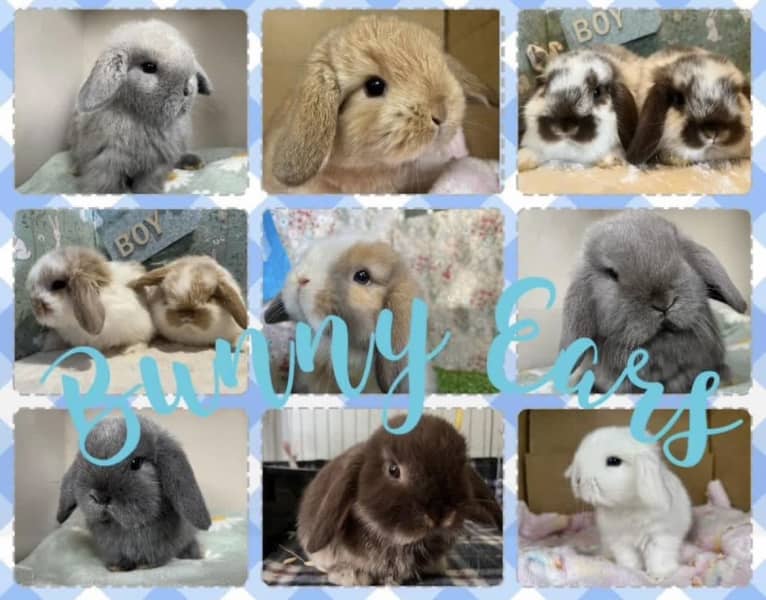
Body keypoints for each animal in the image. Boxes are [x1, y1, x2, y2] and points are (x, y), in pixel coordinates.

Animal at [57, 415, 212, 571]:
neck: (126, 528)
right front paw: (116, 567)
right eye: (86, 463)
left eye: (136, 463)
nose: (100, 497)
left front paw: (144, 566)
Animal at [69, 19, 212, 194]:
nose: (187, 89)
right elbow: (105, 183)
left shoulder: (156, 165)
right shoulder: (106, 162)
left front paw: (150, 193)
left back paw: (194, 162)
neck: (141, 117)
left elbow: (148, 184)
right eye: (149, 67)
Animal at [565, 426, 692, 580]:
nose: (577, 480)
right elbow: (628, 558)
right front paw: (630, 570)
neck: (627, 506)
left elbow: (659, 557)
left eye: (613, 461)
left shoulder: (661, 535)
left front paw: (658, 576)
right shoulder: (620, 541)